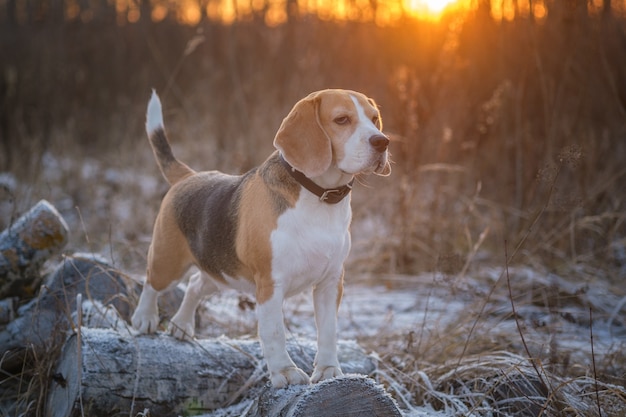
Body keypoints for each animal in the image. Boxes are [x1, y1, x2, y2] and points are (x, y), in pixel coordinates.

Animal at [129, 88, 388, 386]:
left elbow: (328, 331)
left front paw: (328, 370)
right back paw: (145, 318)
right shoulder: (270, 285)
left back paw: (182, 325)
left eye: (374, 119)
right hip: (168, 262)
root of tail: (189, 176)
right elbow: (274, 332)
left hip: (220, 274)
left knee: (194, 285)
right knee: (151, 282)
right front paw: (285, 372)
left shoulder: (331, 282)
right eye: (342, 120)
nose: (383, 142)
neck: (319, 197)